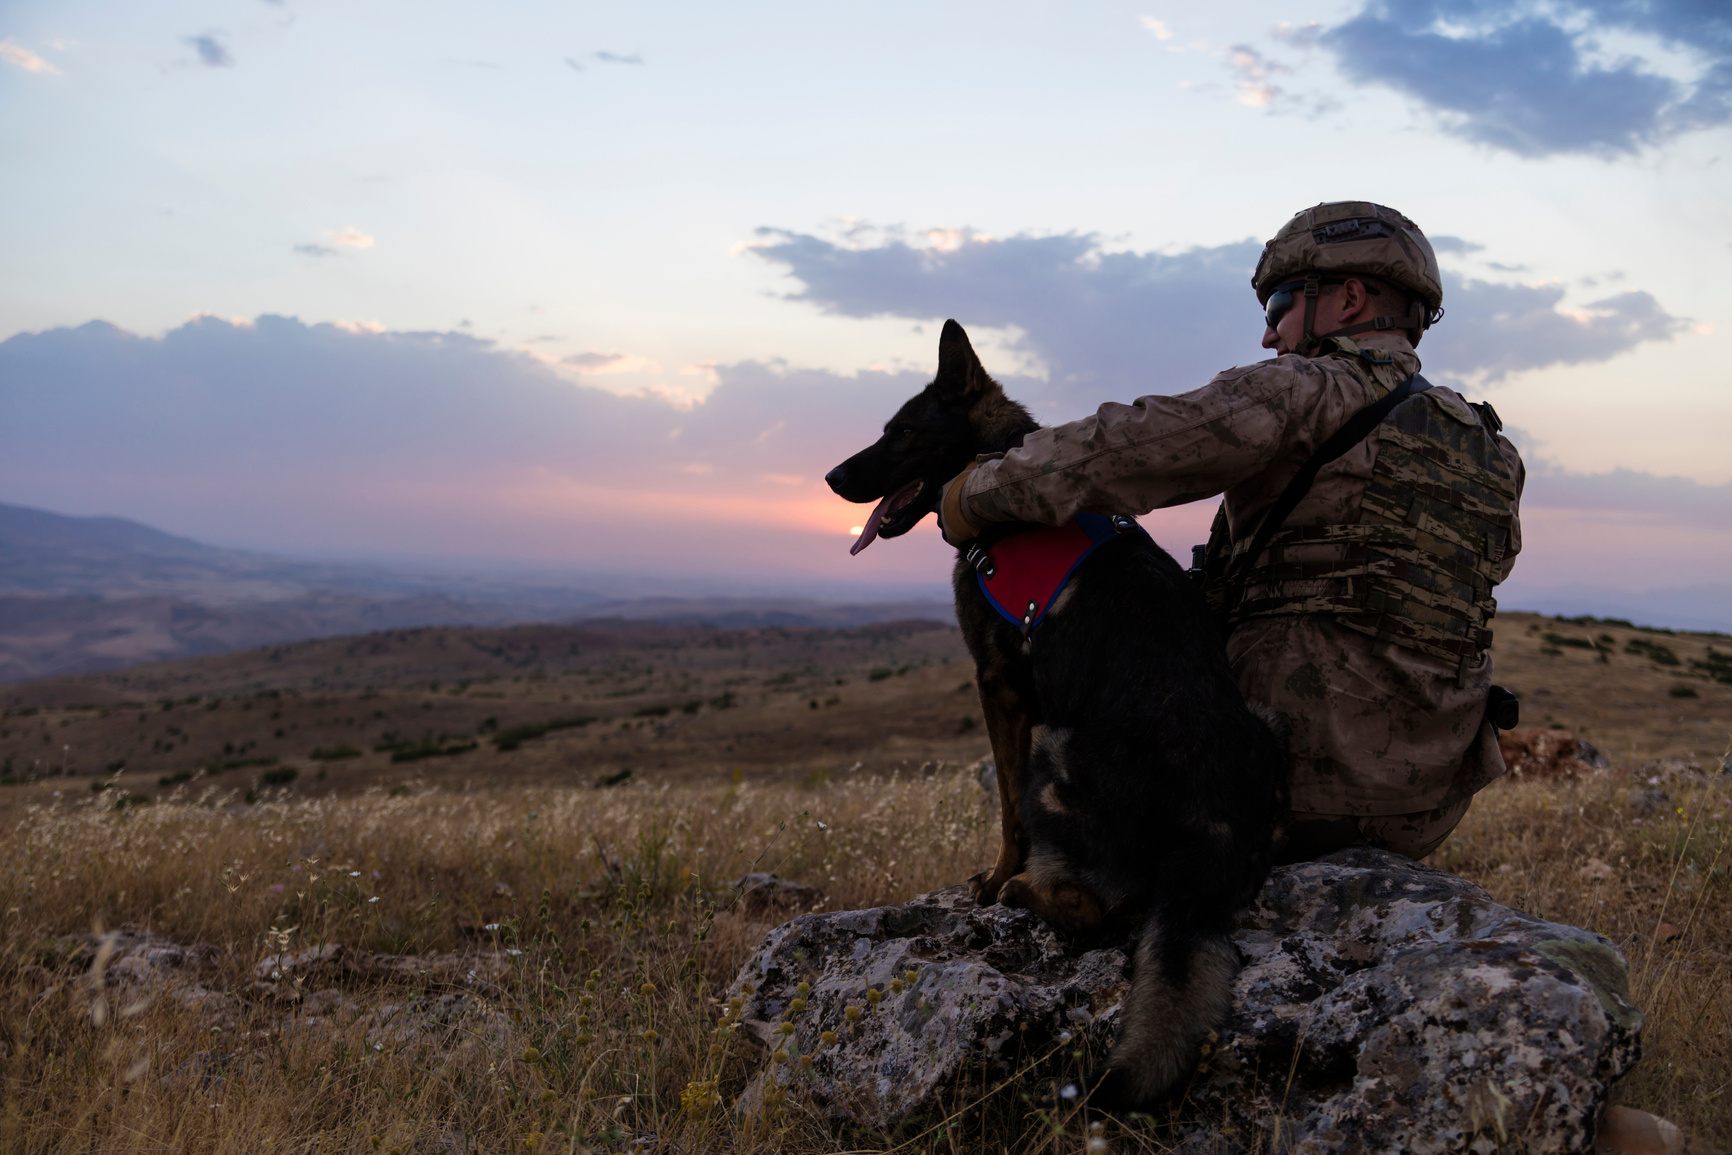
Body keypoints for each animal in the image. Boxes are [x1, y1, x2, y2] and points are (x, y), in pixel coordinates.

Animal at [824, 320, 1288, 1108]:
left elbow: (1008, 809)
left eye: (904, 432)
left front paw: (992, 880)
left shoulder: (1000, 690)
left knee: (1096, 911)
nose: (831, 479)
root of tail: (1213, 818)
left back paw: (1022, 891)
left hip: (1058, 750)